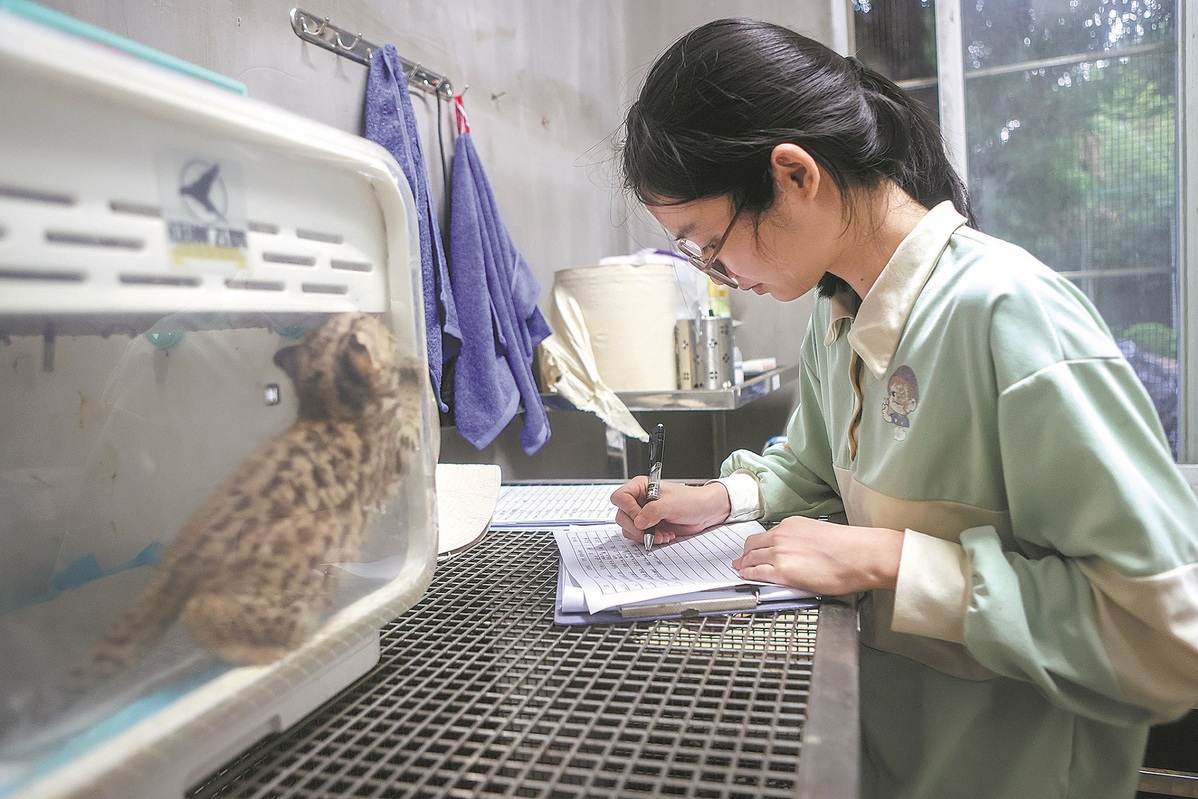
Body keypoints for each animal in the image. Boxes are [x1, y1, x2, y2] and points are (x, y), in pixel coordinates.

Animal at [63, 311, 426, 694]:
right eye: (364, 320)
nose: (373, 316)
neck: (327, 409)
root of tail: (181, 559)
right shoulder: (398, 451)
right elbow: (411, 414)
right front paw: (413, 370)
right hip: (289, 603)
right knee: (199, 613)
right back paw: (263, 653)